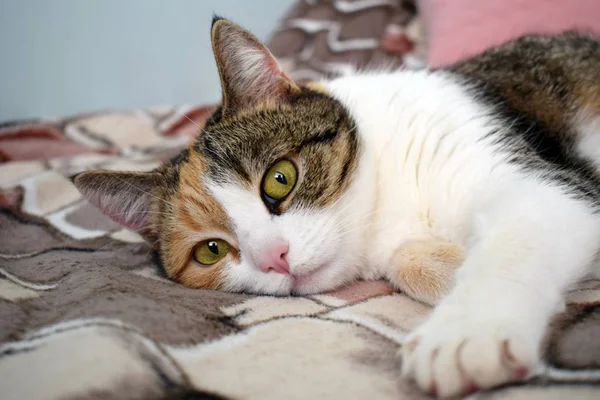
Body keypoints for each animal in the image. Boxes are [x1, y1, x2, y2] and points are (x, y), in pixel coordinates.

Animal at [72, 18, 600, 396]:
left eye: (280, 178)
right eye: (210, 251)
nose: (275, 258)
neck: (386, 199)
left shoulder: (534, 177)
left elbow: (519, 235)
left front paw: (467, 333)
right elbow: (411, 262)